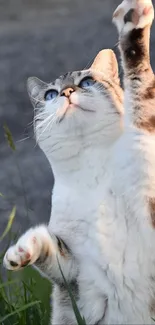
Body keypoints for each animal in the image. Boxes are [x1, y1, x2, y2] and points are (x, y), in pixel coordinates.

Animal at [2, 48, 123, 324]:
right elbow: (49, 247)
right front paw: (20, 252)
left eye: (86, 82)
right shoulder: (76, 273)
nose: (67, 92)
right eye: (51, 95)